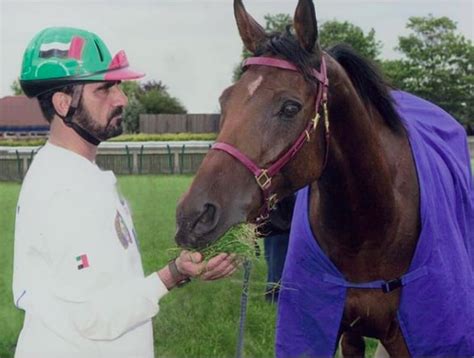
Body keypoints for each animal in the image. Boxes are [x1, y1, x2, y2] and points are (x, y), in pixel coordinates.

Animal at [174, 0, 474, 356]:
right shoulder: (345, 332)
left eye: (290, 107)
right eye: (225, 100)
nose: (193, 217)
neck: (371, 232)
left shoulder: (404, 338)